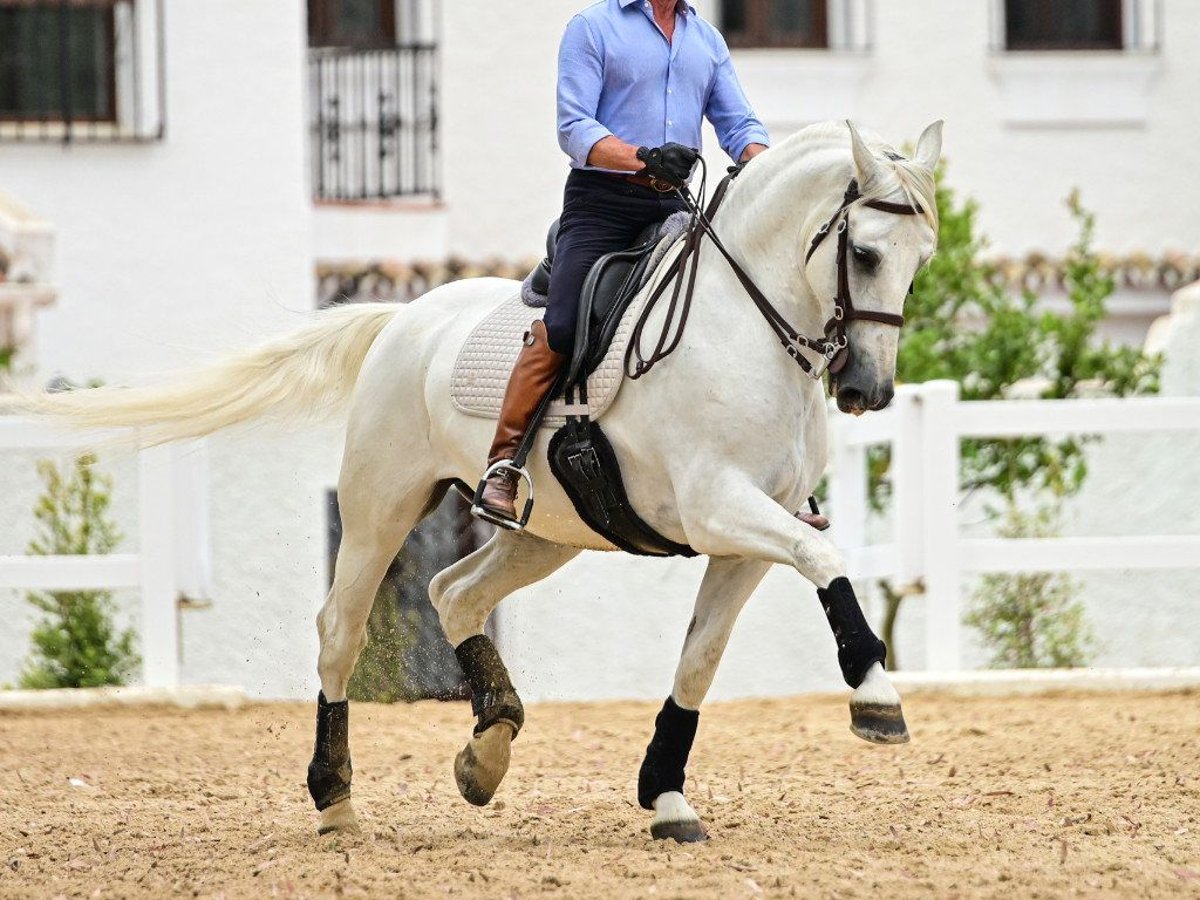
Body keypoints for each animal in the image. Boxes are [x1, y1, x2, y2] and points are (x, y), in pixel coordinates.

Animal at [14, 118, 940, 844]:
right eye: (863, 252)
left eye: (922, 258)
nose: (868, 390)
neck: (743, 328)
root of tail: (405, 317)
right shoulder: (720, 509)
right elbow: (827, 564)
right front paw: (876, 698)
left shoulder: (748, 536)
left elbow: (701, 660)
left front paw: (666, 797)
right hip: (380, 507)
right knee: (340, 630)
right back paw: (336, 800)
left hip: (551, 532)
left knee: (455, 592)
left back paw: (486, 751)